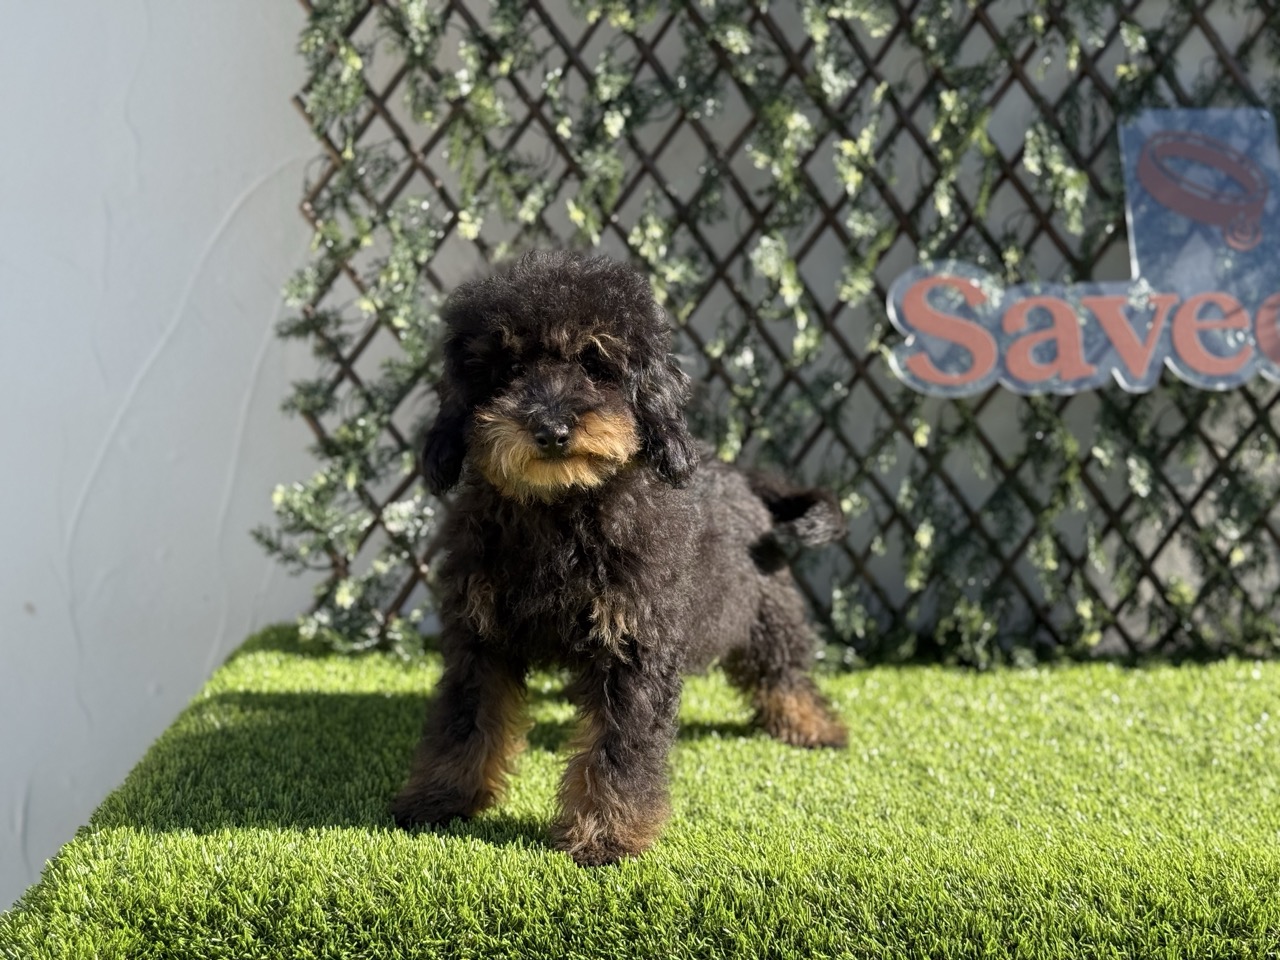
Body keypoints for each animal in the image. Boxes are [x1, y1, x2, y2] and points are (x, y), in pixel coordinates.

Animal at [390, 249, 848, 866]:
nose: (551, 429)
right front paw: (441, 797)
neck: (559, 508)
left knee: (786, 668)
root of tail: (749, 478)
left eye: (595, 361)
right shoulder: (478, 637)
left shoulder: (635, 641)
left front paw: (606, 833)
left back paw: (811, 724)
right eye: (506, 368)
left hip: (766, 610)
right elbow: (465, 720)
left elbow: (619, 745)